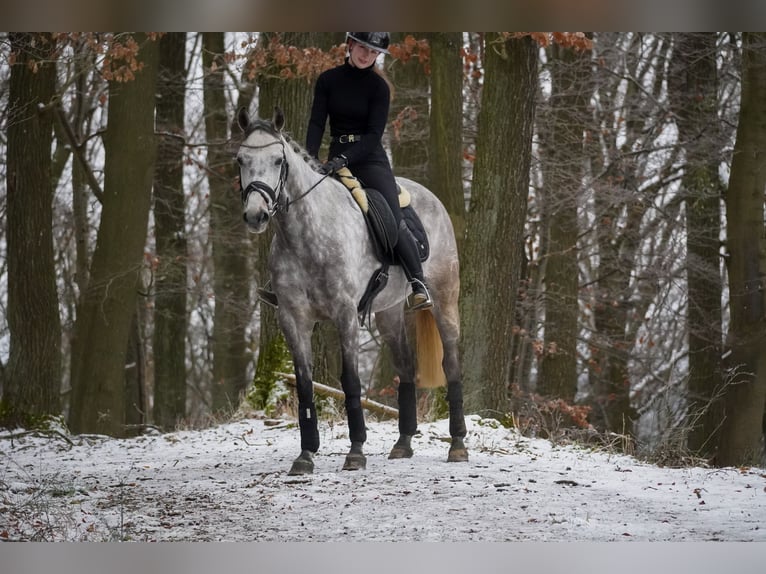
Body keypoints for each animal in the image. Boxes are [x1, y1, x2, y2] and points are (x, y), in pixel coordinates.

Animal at [237, 108, 472, 476]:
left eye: (278, 160)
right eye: (240, 160)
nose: (255, 215)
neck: (306, 234)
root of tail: (430, 196)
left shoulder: (345, 314)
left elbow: (350, 381)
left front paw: (356, 451)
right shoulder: (293, 318)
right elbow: (304, 383)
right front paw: (305, 455)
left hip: (444, 298)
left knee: (451, 364)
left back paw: (458, 445)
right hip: (388, 312)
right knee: (405, 366)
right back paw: (403, 443)